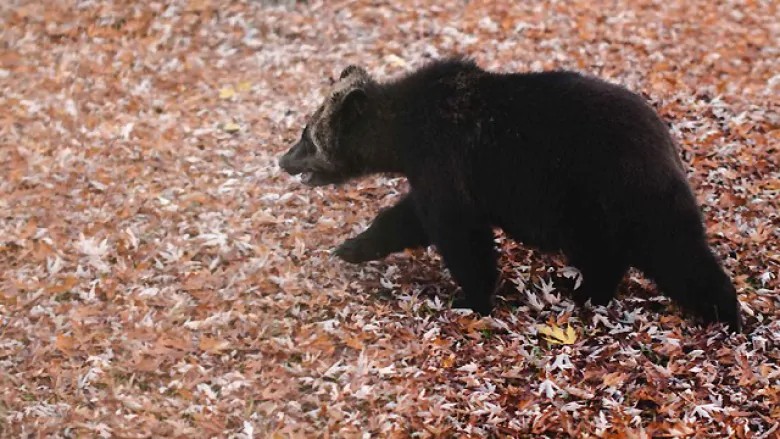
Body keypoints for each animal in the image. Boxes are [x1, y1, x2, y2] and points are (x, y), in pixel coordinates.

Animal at [278, 59, 740, 334]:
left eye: (306, 136)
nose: (283, 160)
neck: (403, 135)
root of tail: (665, 139)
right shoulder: (434, 174)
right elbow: (407, 217)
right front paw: (351, 247)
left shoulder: (445, 164)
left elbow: (459, 235)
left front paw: (471, 298)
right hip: (589, 208)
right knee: (605, 253)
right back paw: (587, 290)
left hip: (617, 188)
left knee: (675, 250)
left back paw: (726, 313)